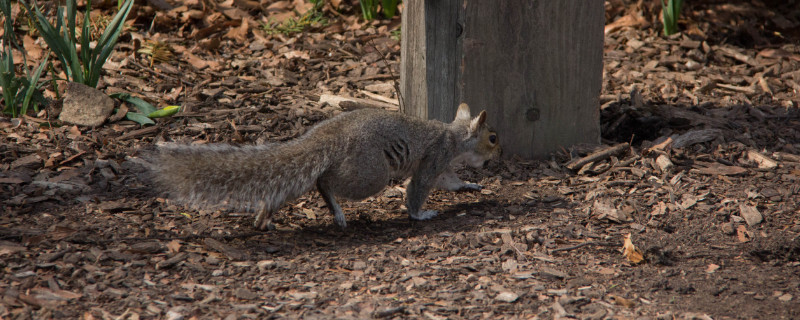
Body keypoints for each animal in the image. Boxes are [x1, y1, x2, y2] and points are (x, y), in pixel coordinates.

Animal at [151, 103, 500, 230]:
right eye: (493, 138)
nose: (497, 156)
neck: (454, 136)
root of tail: (327, 137)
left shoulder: (443, 165)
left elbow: (450, 182)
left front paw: (469, 186)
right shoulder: (435, 158)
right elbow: (418, 189)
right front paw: (421, 214)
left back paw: (264, 217)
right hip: (371, 174)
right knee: (324, 182)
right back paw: (336, 210)